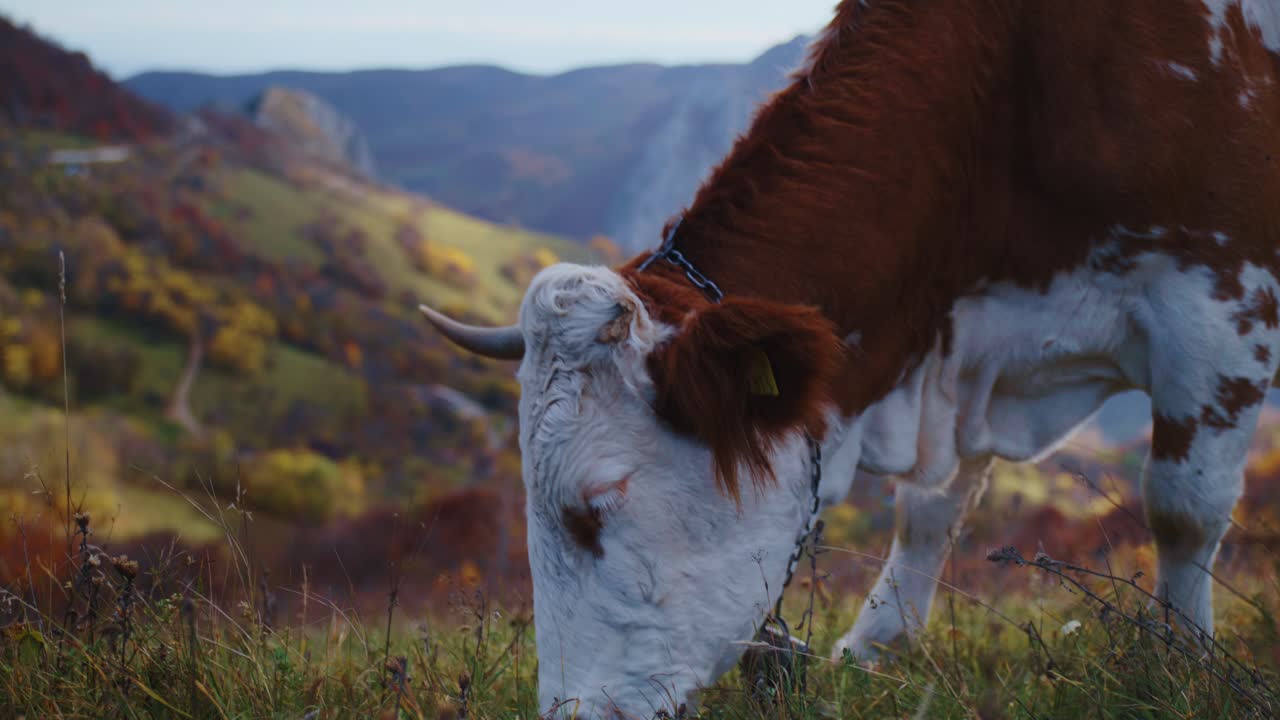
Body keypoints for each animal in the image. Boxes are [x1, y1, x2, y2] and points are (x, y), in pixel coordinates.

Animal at [419, 1, 1280, 716]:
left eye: (594, 506)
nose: (569, 714)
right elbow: (931, 507)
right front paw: (876, 647)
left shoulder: (1221, 300)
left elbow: (1183, 506)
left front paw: (1181, 660)